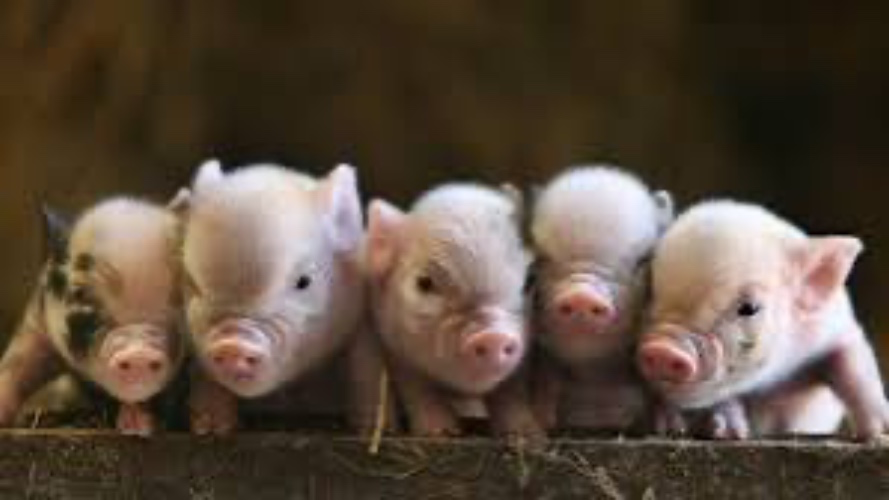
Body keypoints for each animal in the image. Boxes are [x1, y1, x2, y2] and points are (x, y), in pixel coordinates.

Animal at [0, 199, 185, 435]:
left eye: (178, 301)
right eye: (80, 294)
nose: (138, 352)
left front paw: (136, 426)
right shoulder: (37, 324)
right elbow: (19, 363)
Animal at [366, 183, 541, 439]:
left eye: (529, 281)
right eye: (424, 283)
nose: (493, 336)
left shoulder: (524, 360)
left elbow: (511, 392)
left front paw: (526, 434)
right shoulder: (395, 351)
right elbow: (419, 391)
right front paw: (440, 433)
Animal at [637, 200, 889, 439]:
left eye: (749, 308)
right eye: (649, 292)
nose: (663, 349)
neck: (768, 383)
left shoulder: (838, 331)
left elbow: (855, 372)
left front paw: (880, 434)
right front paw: (730, 434)